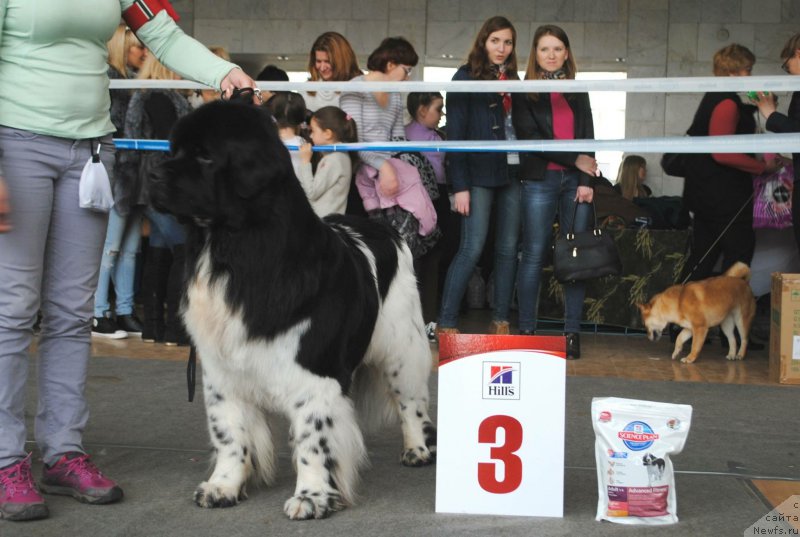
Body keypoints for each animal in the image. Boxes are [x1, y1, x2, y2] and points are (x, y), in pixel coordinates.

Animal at [150, 100, 438, 520]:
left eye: (205, 156)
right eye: (173, 151)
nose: (153, 172)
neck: (233, 253)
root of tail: (384, 229)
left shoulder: (314, 375)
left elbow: (313, 438)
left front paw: (312, 496)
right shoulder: (221, 372)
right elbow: (228, 432)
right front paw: (223, 487)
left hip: (403, 348)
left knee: (411, 401)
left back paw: (417, 449)